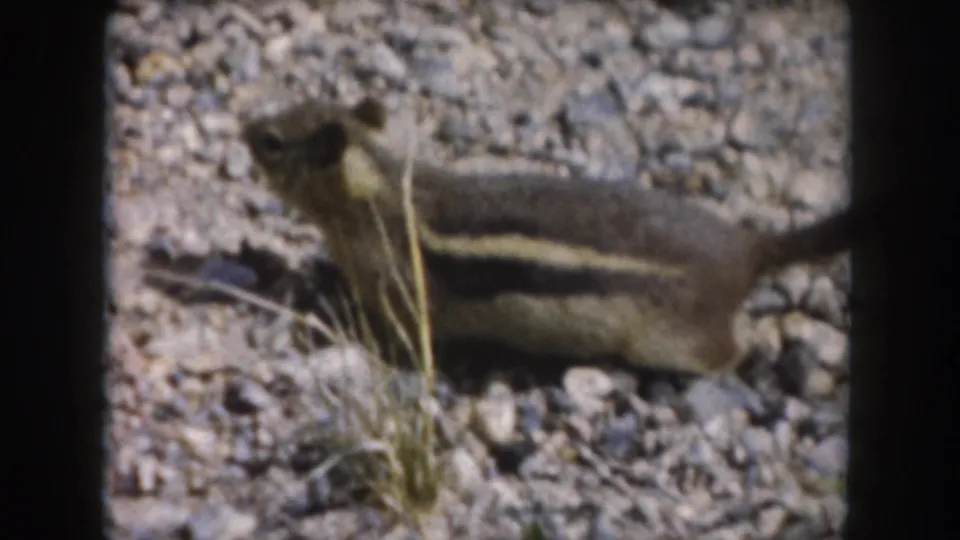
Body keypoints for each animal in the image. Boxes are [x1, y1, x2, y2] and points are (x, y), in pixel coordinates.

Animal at [241, 96, 886, 375]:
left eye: (272, 141)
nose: (245, 126)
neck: (377, 192)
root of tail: (747, 249)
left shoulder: (404, 293)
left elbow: (401, 341)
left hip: (672, 339)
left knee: (729, 351)